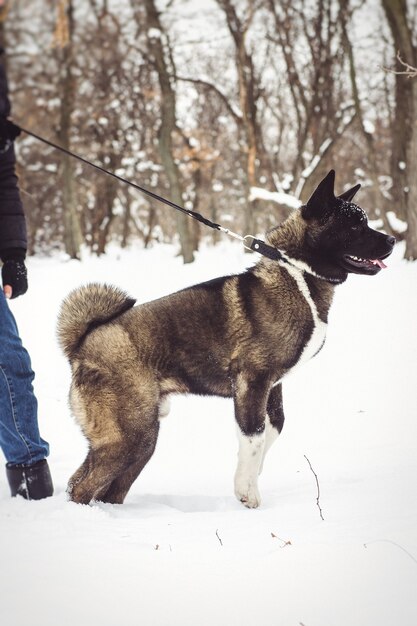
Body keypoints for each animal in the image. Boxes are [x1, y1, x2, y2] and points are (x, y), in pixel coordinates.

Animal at [57, 171, 394, 508]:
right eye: (354, 225)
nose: (392, 240)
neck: (298, 275)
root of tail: (82, 344)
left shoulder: (272, 386)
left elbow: (271, 429)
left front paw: (252, 475)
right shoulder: (251, 379)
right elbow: (254, 435)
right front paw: (247, 492)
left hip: (140, 438)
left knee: (97, 486)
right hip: (132, 435)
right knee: (83, 488)